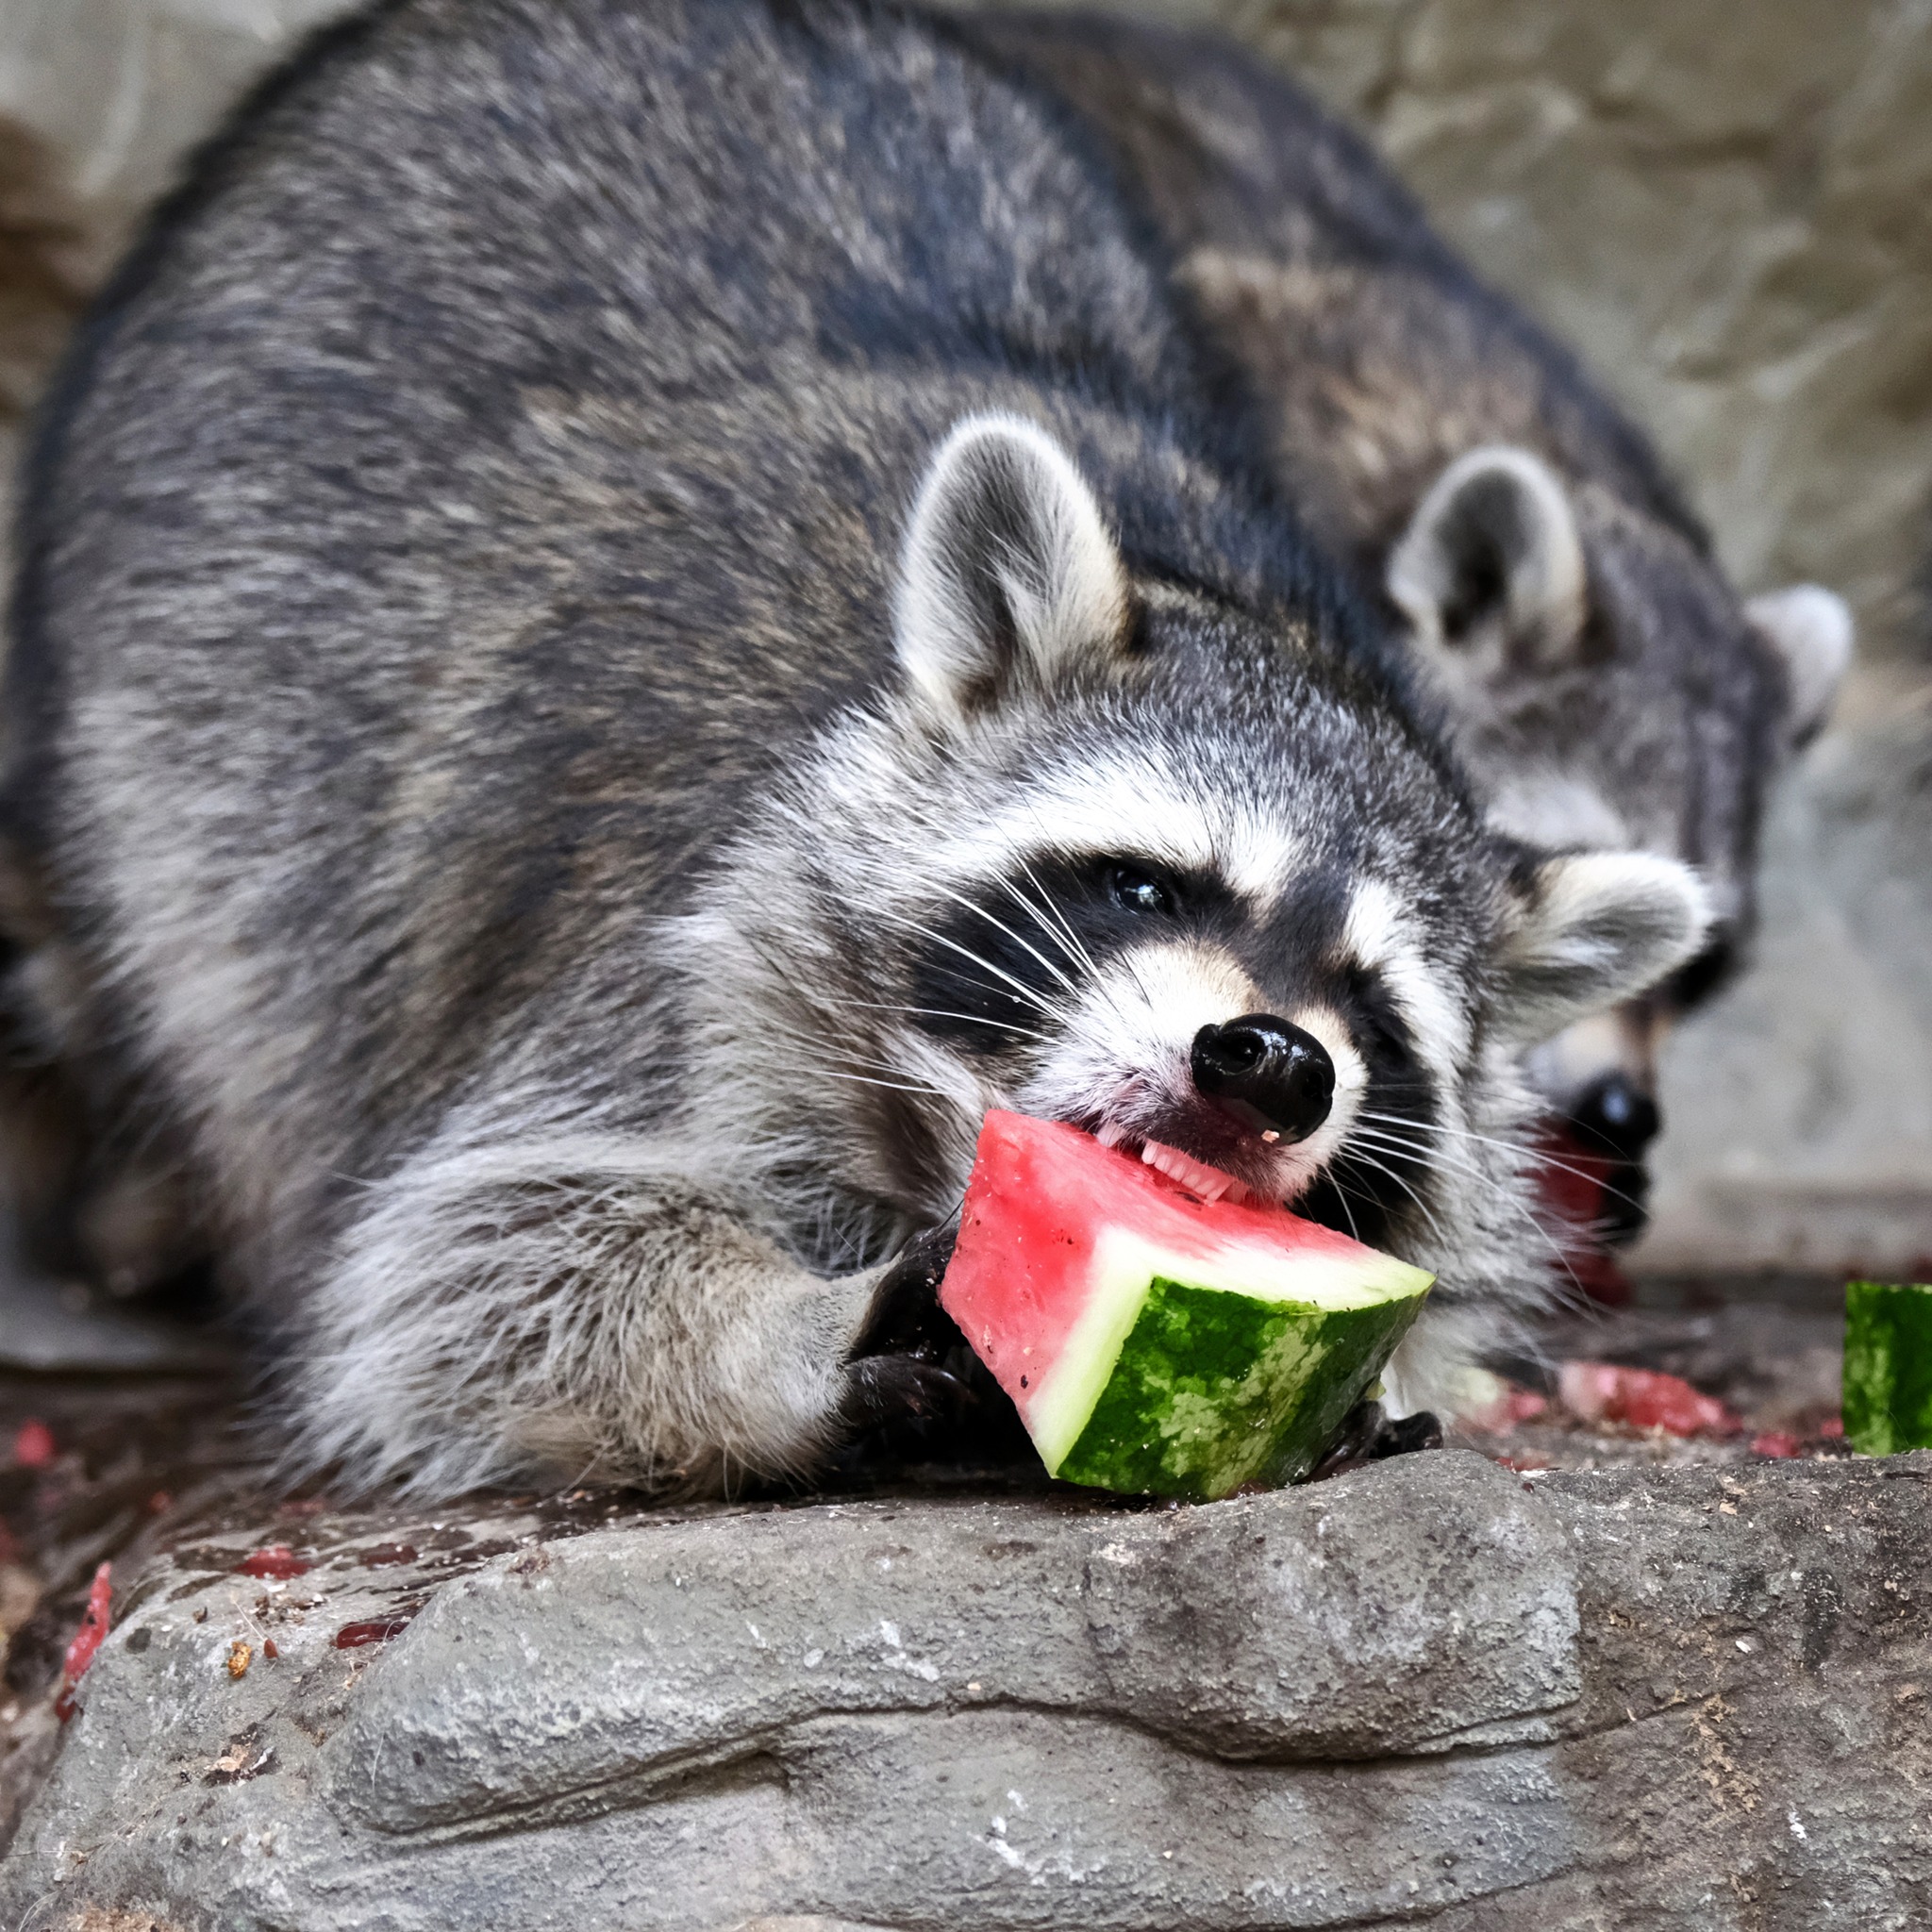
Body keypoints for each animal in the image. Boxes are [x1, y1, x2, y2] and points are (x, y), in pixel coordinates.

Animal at [4, 0, 1707, 1491]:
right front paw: (772, 1337)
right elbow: (456, 1265)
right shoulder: (662, 961)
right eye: (1150, 889)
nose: (1274, 1058)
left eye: (1366, 1003)